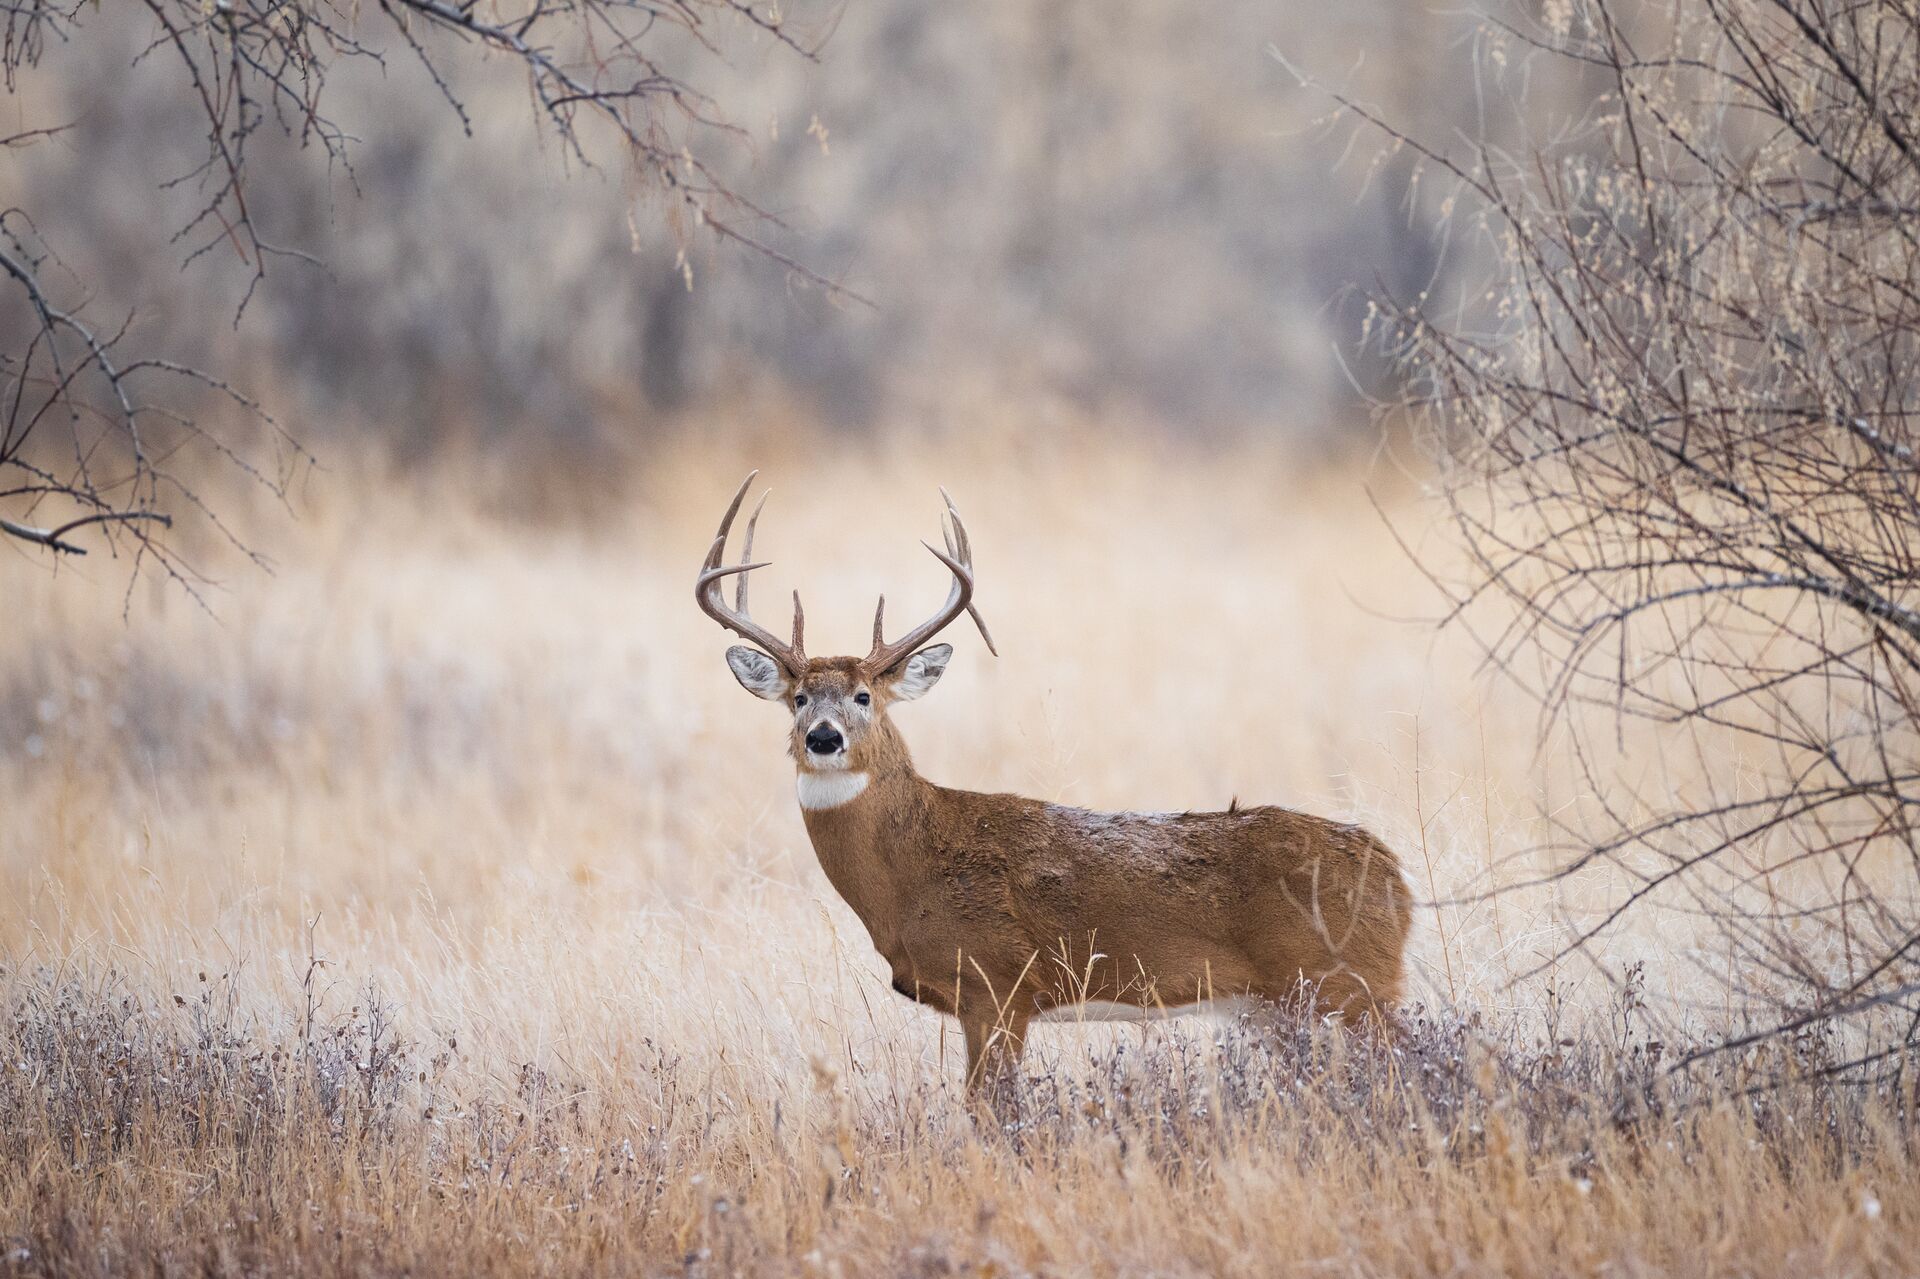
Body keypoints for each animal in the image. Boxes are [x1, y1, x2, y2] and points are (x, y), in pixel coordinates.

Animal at [696, 472, 1413, 1099]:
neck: (915, 867)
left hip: (1350, 984)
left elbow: (988, 1111)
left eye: (865, 696)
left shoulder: (999, 984)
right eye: (797, 698)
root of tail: (1396, 878)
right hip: (1281, 1006)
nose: (823, 737)